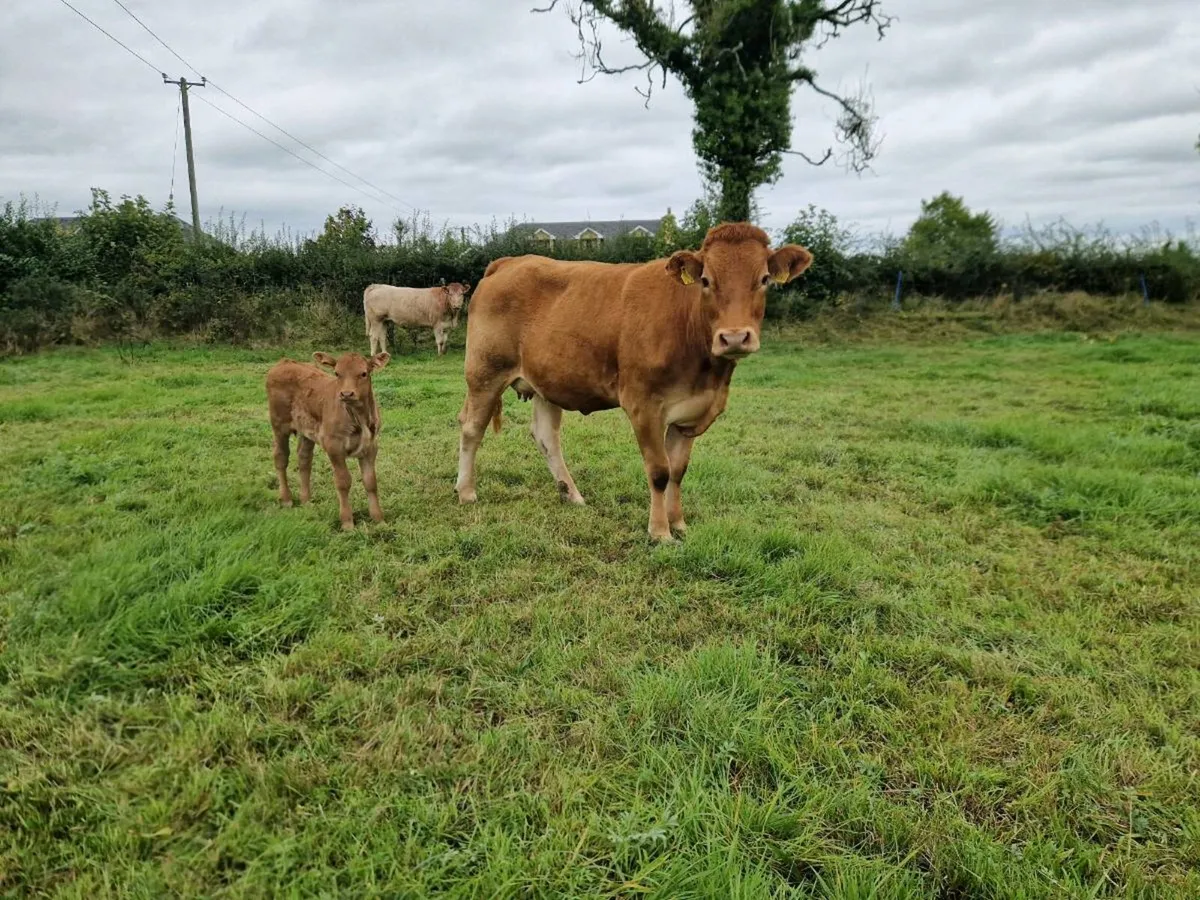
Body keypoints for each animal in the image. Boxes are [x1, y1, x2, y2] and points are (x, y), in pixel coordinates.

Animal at [266, 350, 390, 530]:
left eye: (363, 373)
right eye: (337, 373)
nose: (346, 394)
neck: (358, 418)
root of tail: (285, 362)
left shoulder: (371, 447)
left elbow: (371, 482)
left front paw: (379, 520)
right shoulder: (334, 446)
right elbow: (343, 481)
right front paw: (347, 523)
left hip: (307, 431)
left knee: (304, 459)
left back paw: (306, 501)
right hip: (279, 425)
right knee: (281, 457)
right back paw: (287, 499)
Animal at [454, 222, 813, 541]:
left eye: (764, 279)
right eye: (706, 280)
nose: (735, 337)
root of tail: (509, 261)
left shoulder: (690, 415)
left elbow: (678, 471)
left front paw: (679, 523)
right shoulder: (644, 405)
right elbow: (659, 471)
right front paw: (660, 532)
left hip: (548, 380)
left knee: (545, 436)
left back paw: (572, 494)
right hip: (484, 372)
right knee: (472, 429)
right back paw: (466, 491)